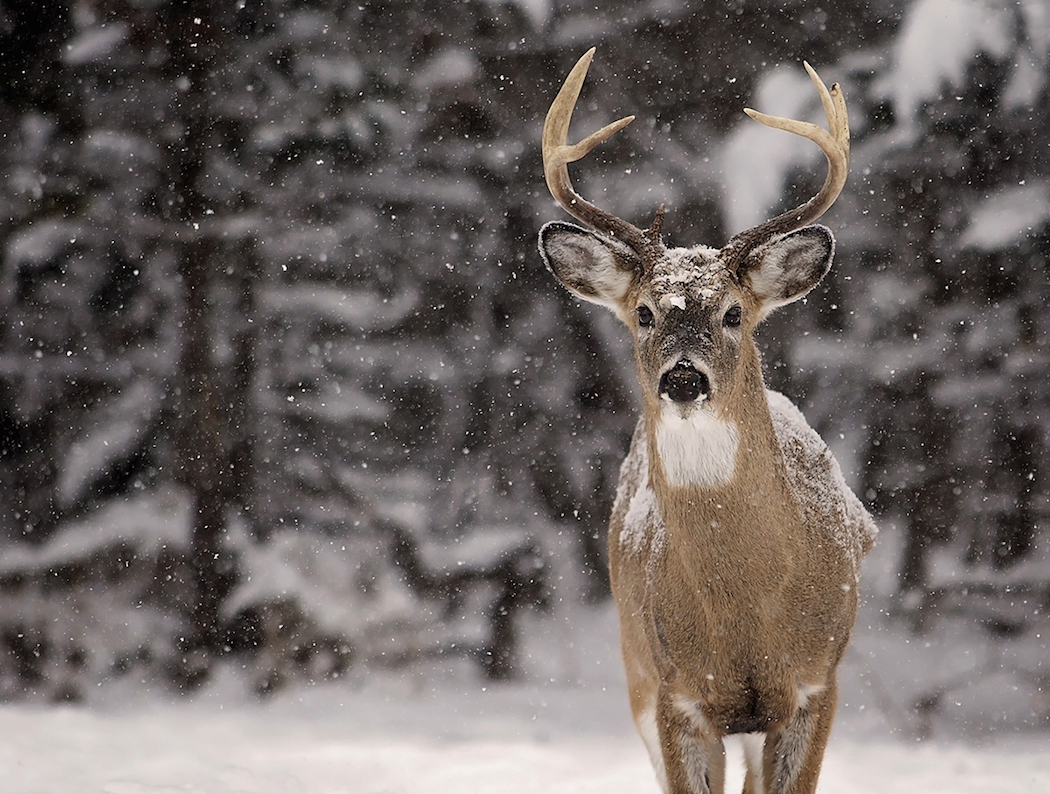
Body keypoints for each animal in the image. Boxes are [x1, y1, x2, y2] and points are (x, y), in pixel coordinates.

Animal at [537, 49, 873, 794]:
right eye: (643, 313)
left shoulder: (817, 685)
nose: (684, 378)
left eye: (733, 313)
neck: (746, 612)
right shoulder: (674, 696)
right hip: (635, 672)